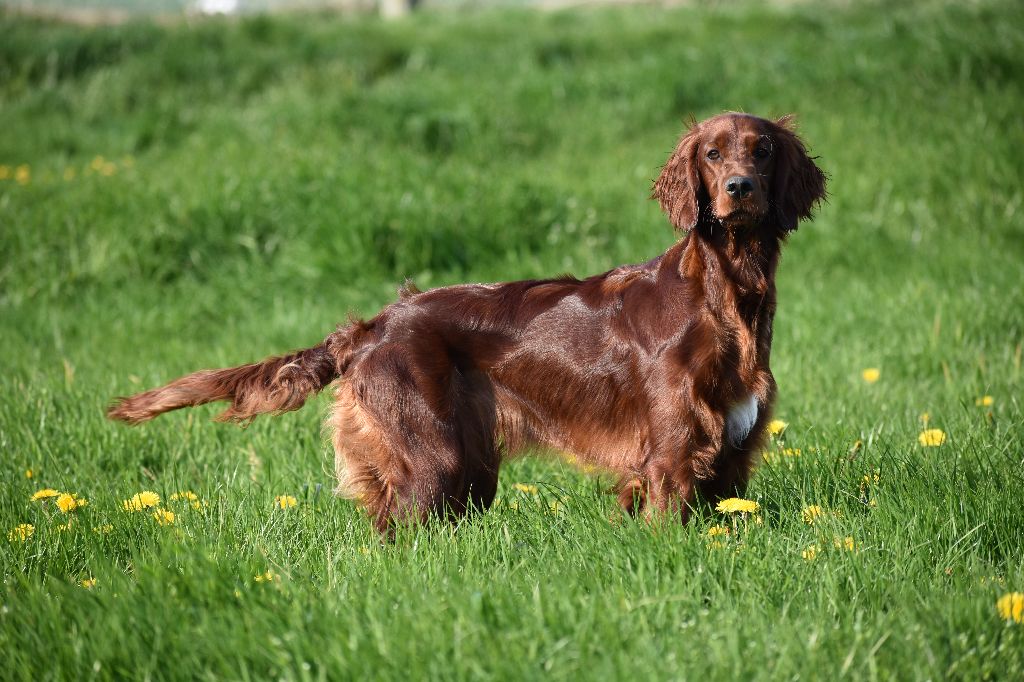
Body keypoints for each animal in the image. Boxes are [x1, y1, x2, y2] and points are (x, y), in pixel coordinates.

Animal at [108, 112, 827, 532]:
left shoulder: (731, 457)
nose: (739, 189)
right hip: (434, 458)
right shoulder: (673, 455)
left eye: (762, 150)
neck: (727, 295)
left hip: (467, 467)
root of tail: (369, 329)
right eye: (712, 153)